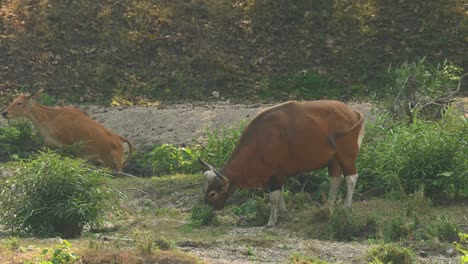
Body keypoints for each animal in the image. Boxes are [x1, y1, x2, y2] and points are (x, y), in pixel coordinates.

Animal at [2, 93, 133, 173]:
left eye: (19, 103)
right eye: (13, 101)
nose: (4, 113)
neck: (49, 118)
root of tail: (120, 139)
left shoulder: (68, 145)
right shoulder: (51, 145)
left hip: (114, 164)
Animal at [199, 100, 364, 228]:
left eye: (213, 193)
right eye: (204, 189)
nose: (207, 211)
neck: (260, 141)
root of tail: (352, 112)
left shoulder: (275, 175)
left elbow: (273, 198)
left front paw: (271, 222)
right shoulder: (278, 173)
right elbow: (281, 193)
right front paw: (283, 212)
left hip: (346, 155)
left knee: (351, 178)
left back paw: (346, 207)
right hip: (333, 158)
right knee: (335, 179)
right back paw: (328, 206)